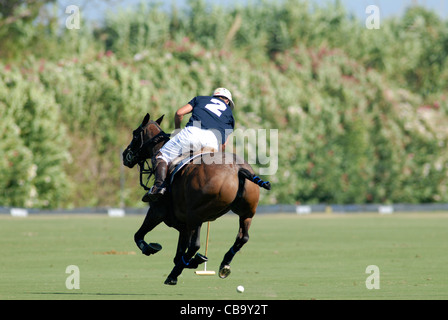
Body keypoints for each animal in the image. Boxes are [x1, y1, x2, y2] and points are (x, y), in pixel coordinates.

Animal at [121, 113, 272, 284]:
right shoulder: (183, 226)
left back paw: (173, 275)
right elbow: (178, 253)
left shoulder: (158, 211)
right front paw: (192, 262)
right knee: (243, 237)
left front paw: (149, 248)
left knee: (195, 245)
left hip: (196, 215)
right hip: (246, 212)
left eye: (134, 134)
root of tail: (238, 169)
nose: (125, 155)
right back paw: (223, 265)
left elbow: (139, 235)